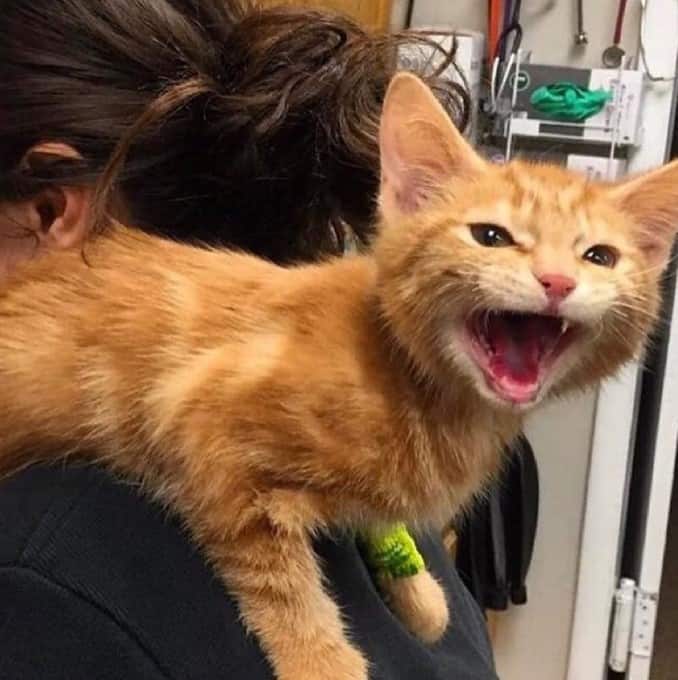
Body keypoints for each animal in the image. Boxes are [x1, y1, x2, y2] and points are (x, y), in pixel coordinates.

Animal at [1, 74, 678, 680]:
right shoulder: (196, 420)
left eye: (599, 257)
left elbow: (375, 512)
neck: (425, 388)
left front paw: (417, 590)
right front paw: (322, 661)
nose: (557, 281)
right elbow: (278, 575)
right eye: (491, 236)